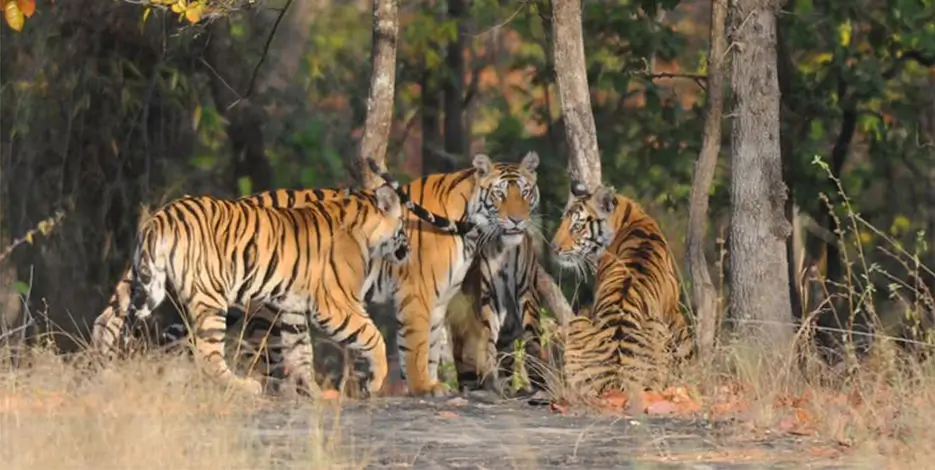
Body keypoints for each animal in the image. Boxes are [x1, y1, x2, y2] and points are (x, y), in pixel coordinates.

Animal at [118, 184, 459, 396]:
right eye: (403, 225)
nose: (409, 249)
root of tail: (160, 218)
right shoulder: (336, 304)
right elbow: (372, 335)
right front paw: (374, 382)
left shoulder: (294, 305)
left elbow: (299, 349)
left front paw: (313, 391)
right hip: (212, 297)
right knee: (207, 353)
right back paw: (243, 386)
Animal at [550, 181, 694, 396]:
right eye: (563, 220)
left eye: (577, 226)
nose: (553, 248)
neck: (628, 215)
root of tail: (616, 381)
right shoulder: (672, 310)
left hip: (580, 321)